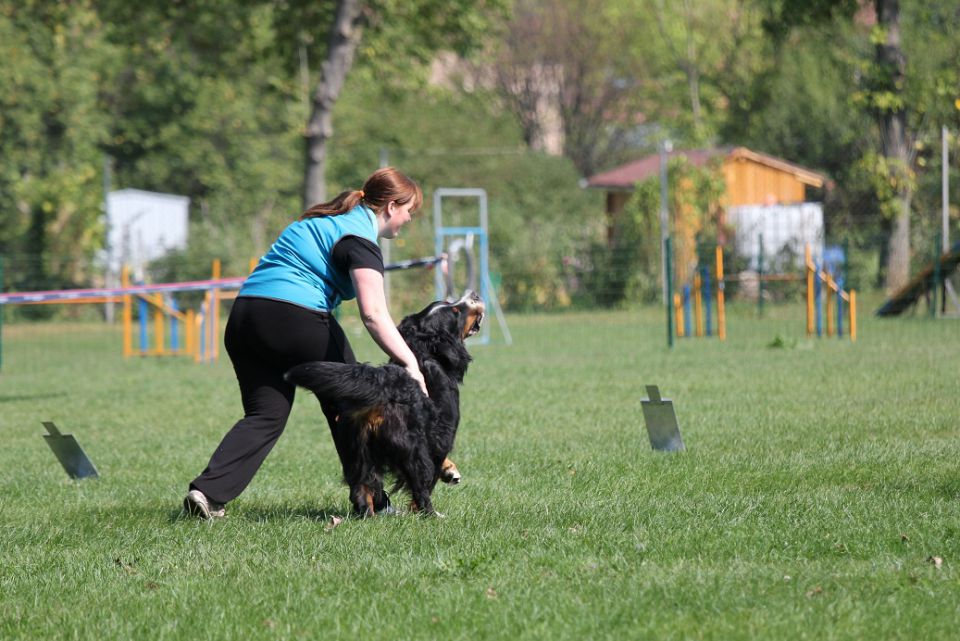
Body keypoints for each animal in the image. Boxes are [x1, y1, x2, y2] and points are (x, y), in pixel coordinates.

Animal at [282, 290, 484, 516]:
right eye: (456, 310)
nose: (474, 294)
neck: (424, 353)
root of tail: (386, 381)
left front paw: (449, 471)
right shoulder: (442, 432)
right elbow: (434, 468)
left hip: (356, 450)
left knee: (362, 489)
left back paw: (369, 514)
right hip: (411, 447)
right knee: (420, 483)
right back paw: (432, 514)